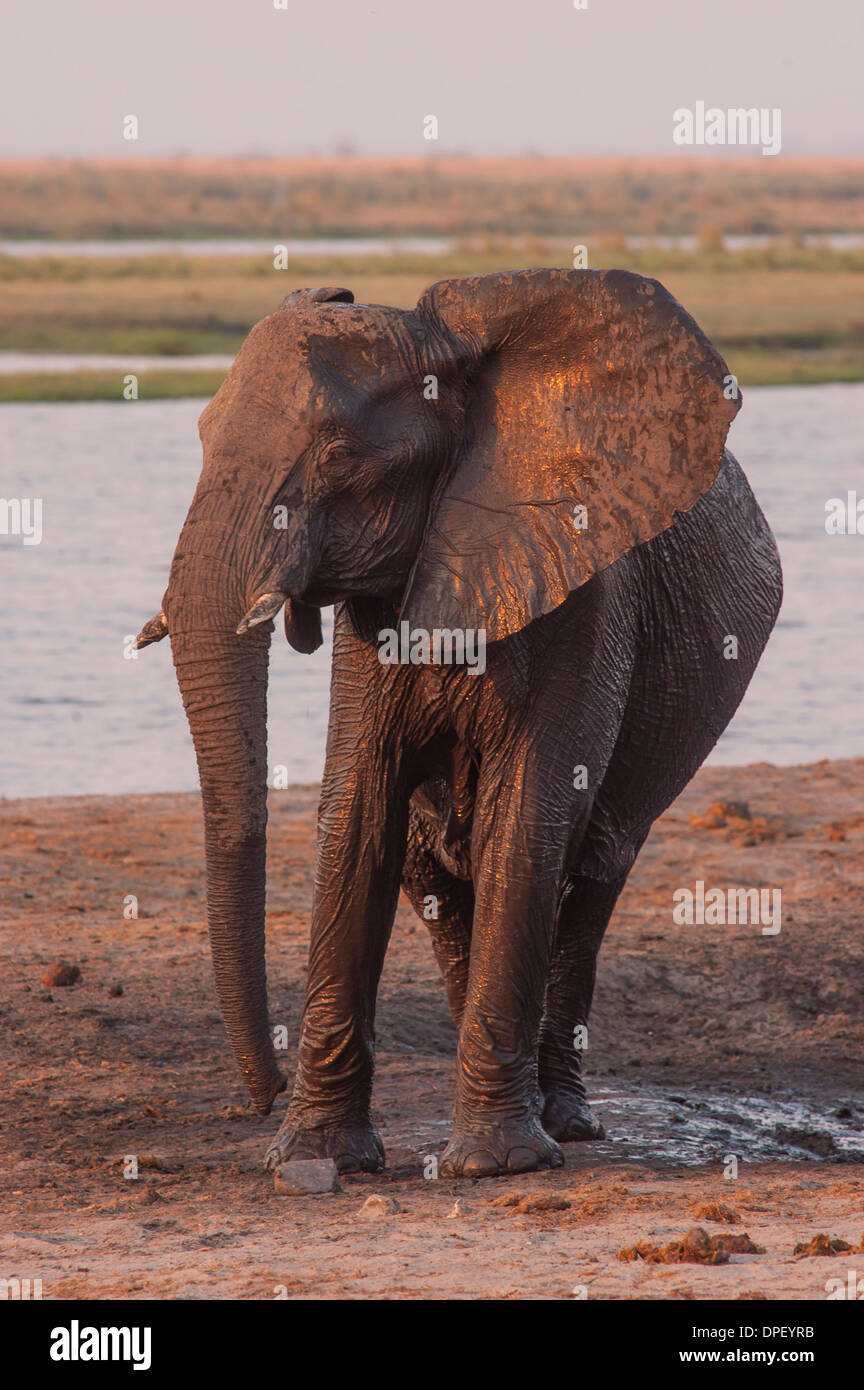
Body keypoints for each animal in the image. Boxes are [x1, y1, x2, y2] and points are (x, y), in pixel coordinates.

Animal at [136, 268, 783, 1173]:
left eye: (338, 456)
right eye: (199, 436)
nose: (261, 1096)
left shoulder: (584, 595)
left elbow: (529, 819)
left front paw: (499, 1165)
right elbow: (357, 811)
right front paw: (313, 1161)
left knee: (590, 878)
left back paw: (562, 1122)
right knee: (437, 878)